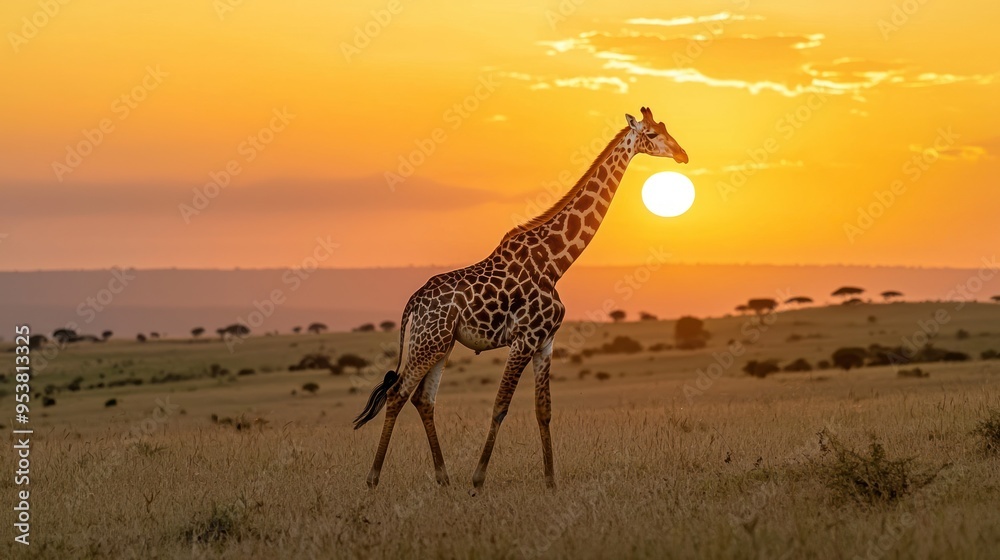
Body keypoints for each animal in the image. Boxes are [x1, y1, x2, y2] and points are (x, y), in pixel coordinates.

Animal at [354, 106, 688, 490]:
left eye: (665, 128)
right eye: (651, 134)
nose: (682, 154)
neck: (555, 261)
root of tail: (413, 304)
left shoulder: (546, 342)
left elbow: (544, 410)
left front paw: (550, 481)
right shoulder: (524, 339)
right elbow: (501, 405)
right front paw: (479, 479)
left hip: (441, 345)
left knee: (423, 399)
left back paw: (443, 478)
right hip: (428, 343)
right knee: (397, 394)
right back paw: (374, 478)